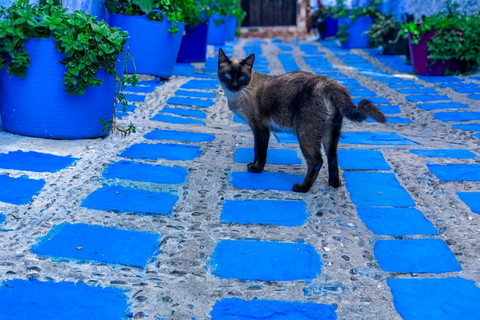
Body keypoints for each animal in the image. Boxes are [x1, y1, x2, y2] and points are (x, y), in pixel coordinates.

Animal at [218, 47, 386, 192]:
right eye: (228, 76)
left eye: (241, 77)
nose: (234, 85)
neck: (236, 96)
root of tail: (331, 83)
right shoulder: (256, 130)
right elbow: (255, 150)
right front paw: (251, 165)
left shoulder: (261, 129)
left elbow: (260, 152)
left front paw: (256, 169)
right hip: (330, 135)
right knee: (332, 157)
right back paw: (334, 185)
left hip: (305, 134)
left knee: (317, 161)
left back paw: (302, 188)